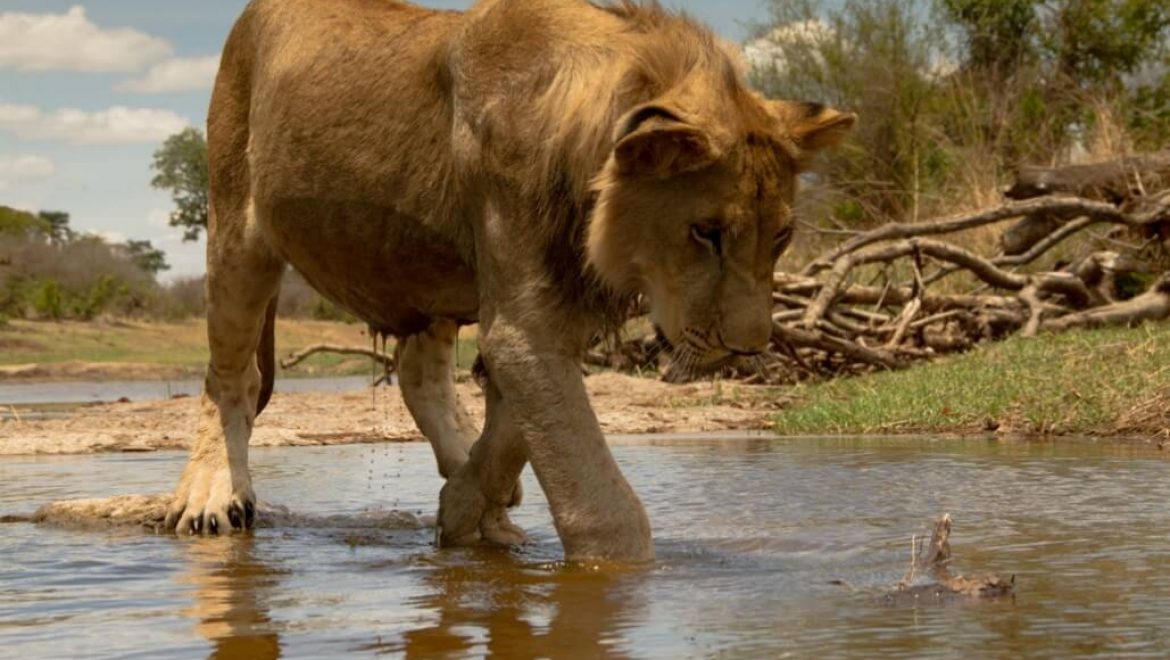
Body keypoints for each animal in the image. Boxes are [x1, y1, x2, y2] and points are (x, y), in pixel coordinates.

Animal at [164, 0, 851, 561]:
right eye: (706, 232)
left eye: (781, 237)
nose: (748, 348)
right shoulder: (524, 320)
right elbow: (600, 501)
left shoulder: (554, 310)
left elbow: (518, 431)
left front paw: (469, 508)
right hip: (236, 231)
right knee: (230, 377)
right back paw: (208, 495)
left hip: (424, 269)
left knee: (417, 373)